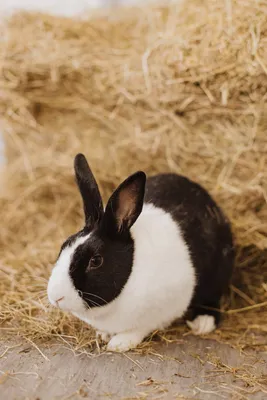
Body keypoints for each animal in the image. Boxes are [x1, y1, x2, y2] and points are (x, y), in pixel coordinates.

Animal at [47, 155, 236, 352]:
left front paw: (119, 343)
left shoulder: (158, 313)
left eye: (96, 260)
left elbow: (139, 329)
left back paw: (202, 323)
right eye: (64, 245)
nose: (55, 297)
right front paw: (103, 335)